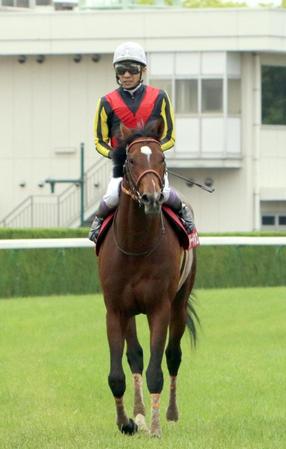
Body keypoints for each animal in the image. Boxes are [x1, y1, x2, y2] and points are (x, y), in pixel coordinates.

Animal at [97, 120, 198, 438]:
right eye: (131, 160)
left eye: (162, 158)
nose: (152, 198)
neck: (136, 245)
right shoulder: (115, 309)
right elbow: (118, 373)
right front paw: (127, 421)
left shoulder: (159, 308)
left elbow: (157, 370)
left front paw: (155, 428)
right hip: (130, 312)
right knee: (135, 356)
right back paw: (139, 415)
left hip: (179, 303)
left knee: (173, 355)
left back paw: (170, 414)